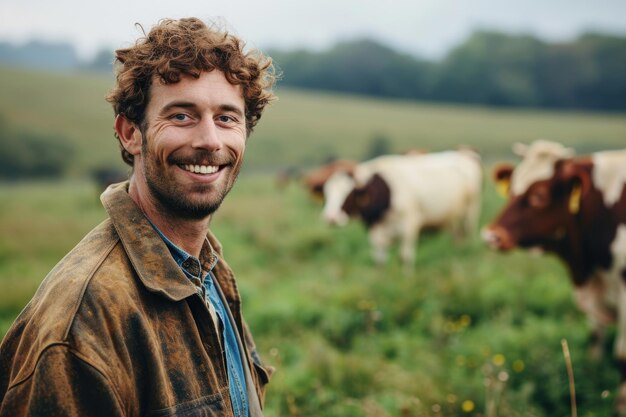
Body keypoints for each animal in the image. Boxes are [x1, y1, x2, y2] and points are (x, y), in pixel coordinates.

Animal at [320, 150, 480, 266]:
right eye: (327, 193)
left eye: (349, 193)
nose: (331, 217)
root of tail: (463, 154)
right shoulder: (375, 230)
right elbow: (379, 260)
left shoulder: (410, 226)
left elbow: (405, 256)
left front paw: (407, 282)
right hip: (453, 218)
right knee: (457, 237)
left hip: (470, 212)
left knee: (468, 234)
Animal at [482, 139, 626, 412]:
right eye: (513, 188)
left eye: (539, 196)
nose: (491, 236)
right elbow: (595, 340)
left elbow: (621, 353)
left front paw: (620, 404)